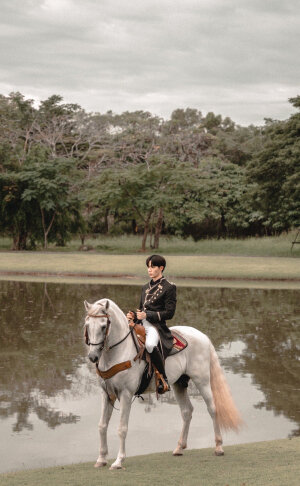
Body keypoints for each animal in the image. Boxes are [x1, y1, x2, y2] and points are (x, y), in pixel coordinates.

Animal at [83, 298, 243, 468]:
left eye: (103, 326)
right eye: (87, 325)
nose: (93, 357)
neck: (119, 352)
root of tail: (203, 336)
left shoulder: (126, 394)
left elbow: (122, 428)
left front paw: (119, 461)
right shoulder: (107, 394)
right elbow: (102, 426)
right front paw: (101, 459)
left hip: (202, 381)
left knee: (212, 409)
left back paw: (218, 447)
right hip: (179, 383)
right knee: (186, 411)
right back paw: (179, 447)